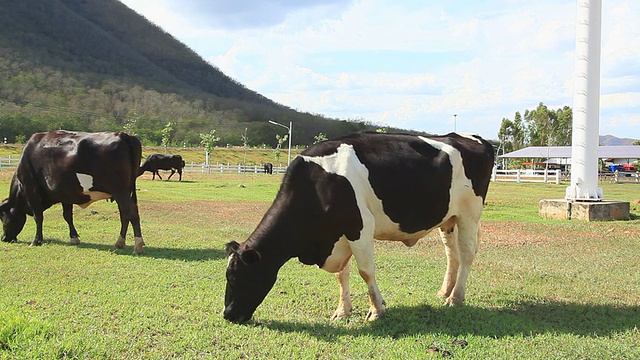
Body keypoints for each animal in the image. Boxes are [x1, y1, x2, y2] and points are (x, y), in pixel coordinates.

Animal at [0, 131, 145, 255]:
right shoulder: (65, 194)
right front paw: (74, 238)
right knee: (125, 214)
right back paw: (120, 243)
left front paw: (36, 241)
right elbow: (67, 216)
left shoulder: (31, 190)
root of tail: (124, 135)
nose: (4, 238)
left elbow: (38, 217)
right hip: (125, 192)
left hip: (120, 191)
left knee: (131, 213)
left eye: (2, 217)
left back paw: (137, 246)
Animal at [225, 132, 496, 324]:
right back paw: (444, 291)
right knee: (452, 254)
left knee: (467, 253)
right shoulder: (338, 235)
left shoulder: (360, 227)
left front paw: (377, 310)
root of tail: (471, 137)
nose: (227, 314)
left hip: (469, 213)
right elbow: (341, 274)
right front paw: (342, 310)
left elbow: (366, 272)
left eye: (236, 276)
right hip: (448, 219)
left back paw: (456, 297)